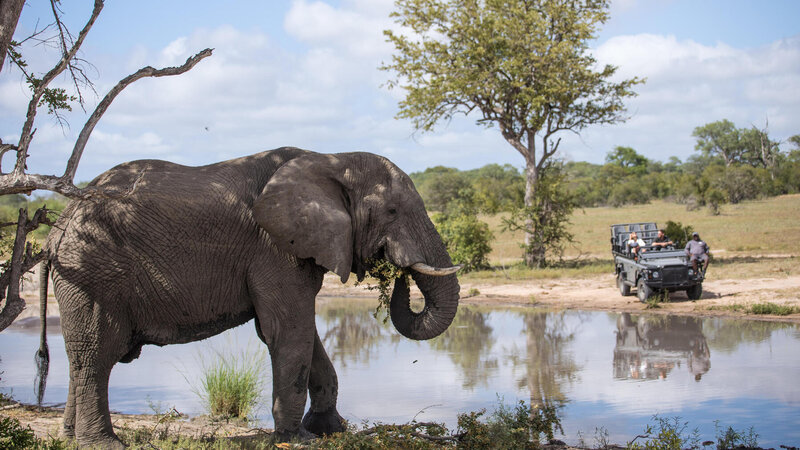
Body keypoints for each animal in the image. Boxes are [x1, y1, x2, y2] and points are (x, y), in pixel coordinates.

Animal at [39, 148, 462, 446]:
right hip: (92, 272)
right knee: (98, 351)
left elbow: (303, 336)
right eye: (391, 211)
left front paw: (331, 430)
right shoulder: (274, 247)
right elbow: (288, 331)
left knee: (82, 356)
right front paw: (297, 439)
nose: (399, 272)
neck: (332, 159)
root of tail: (57, 228)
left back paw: (68, 437)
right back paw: (103, 444)